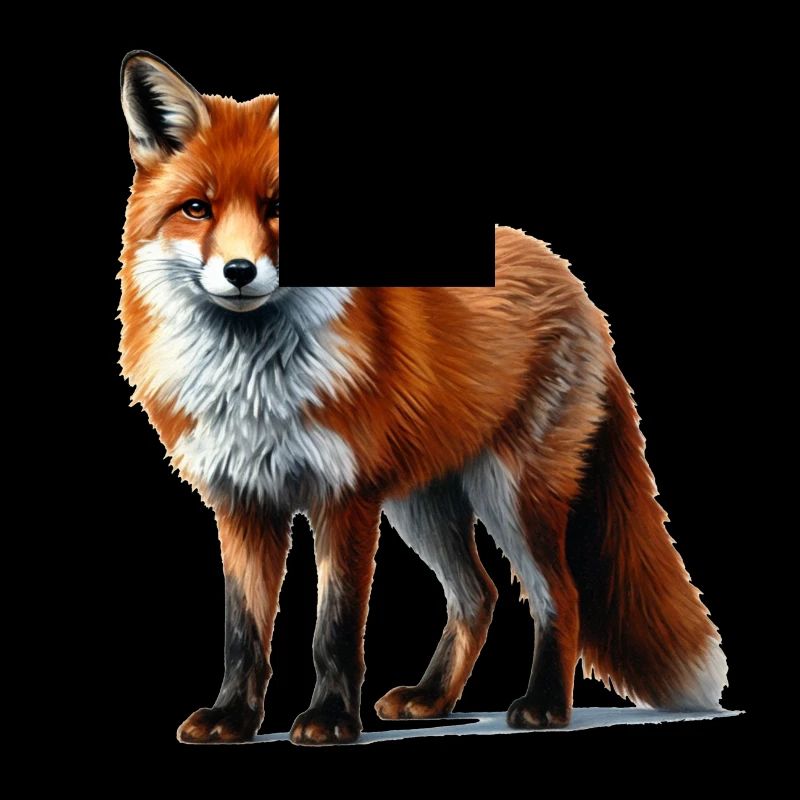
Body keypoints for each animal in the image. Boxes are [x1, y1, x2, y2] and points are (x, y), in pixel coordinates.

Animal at [118, 51, 727, 745]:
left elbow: (335, 629)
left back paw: (544, 705)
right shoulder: (243, 501)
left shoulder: (345, 498)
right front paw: (234, 719)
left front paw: (330, 719)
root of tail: (565, 273)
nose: (239, 272)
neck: (257, 386)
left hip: (513, 493)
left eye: (280, 208)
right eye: (197, 209)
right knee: (479, 595)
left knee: (559, 594)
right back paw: (433, 699)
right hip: (424, 504)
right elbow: (243, 634)